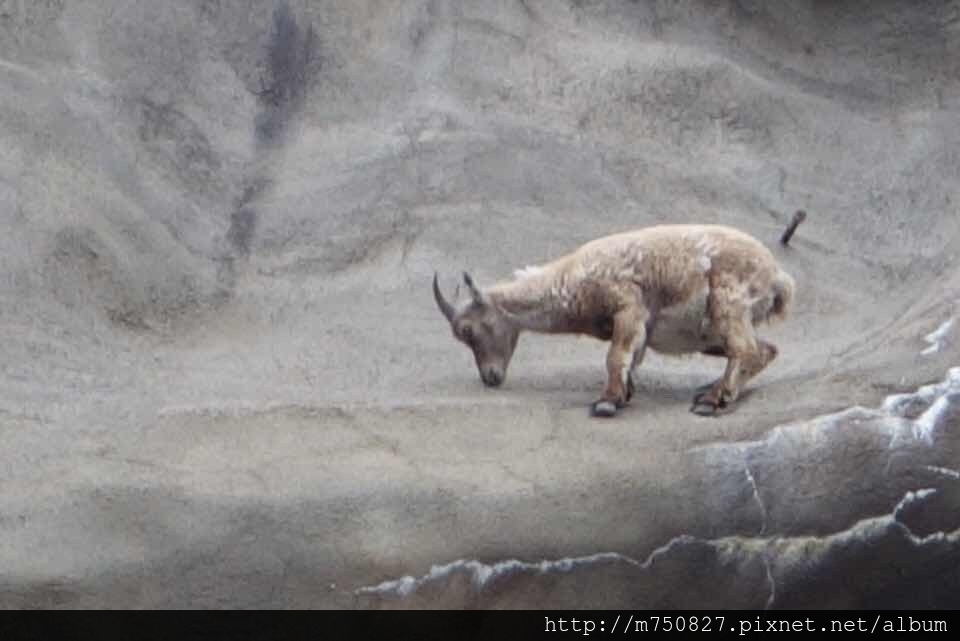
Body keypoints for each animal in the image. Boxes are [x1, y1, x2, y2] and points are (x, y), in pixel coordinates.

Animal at [436, 222, 796, 418]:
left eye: (468, 330)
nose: (491, 378)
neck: (570, 281)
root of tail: (778, 278)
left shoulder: (627, 303)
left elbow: (616, 356)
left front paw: (606, 403)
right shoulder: (638, 328)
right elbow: (631, 357)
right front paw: (623, 394)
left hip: (728, 301)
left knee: (746, 348)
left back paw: (711, 401)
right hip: (713, 331)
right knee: (766, 349)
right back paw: (714, 389)